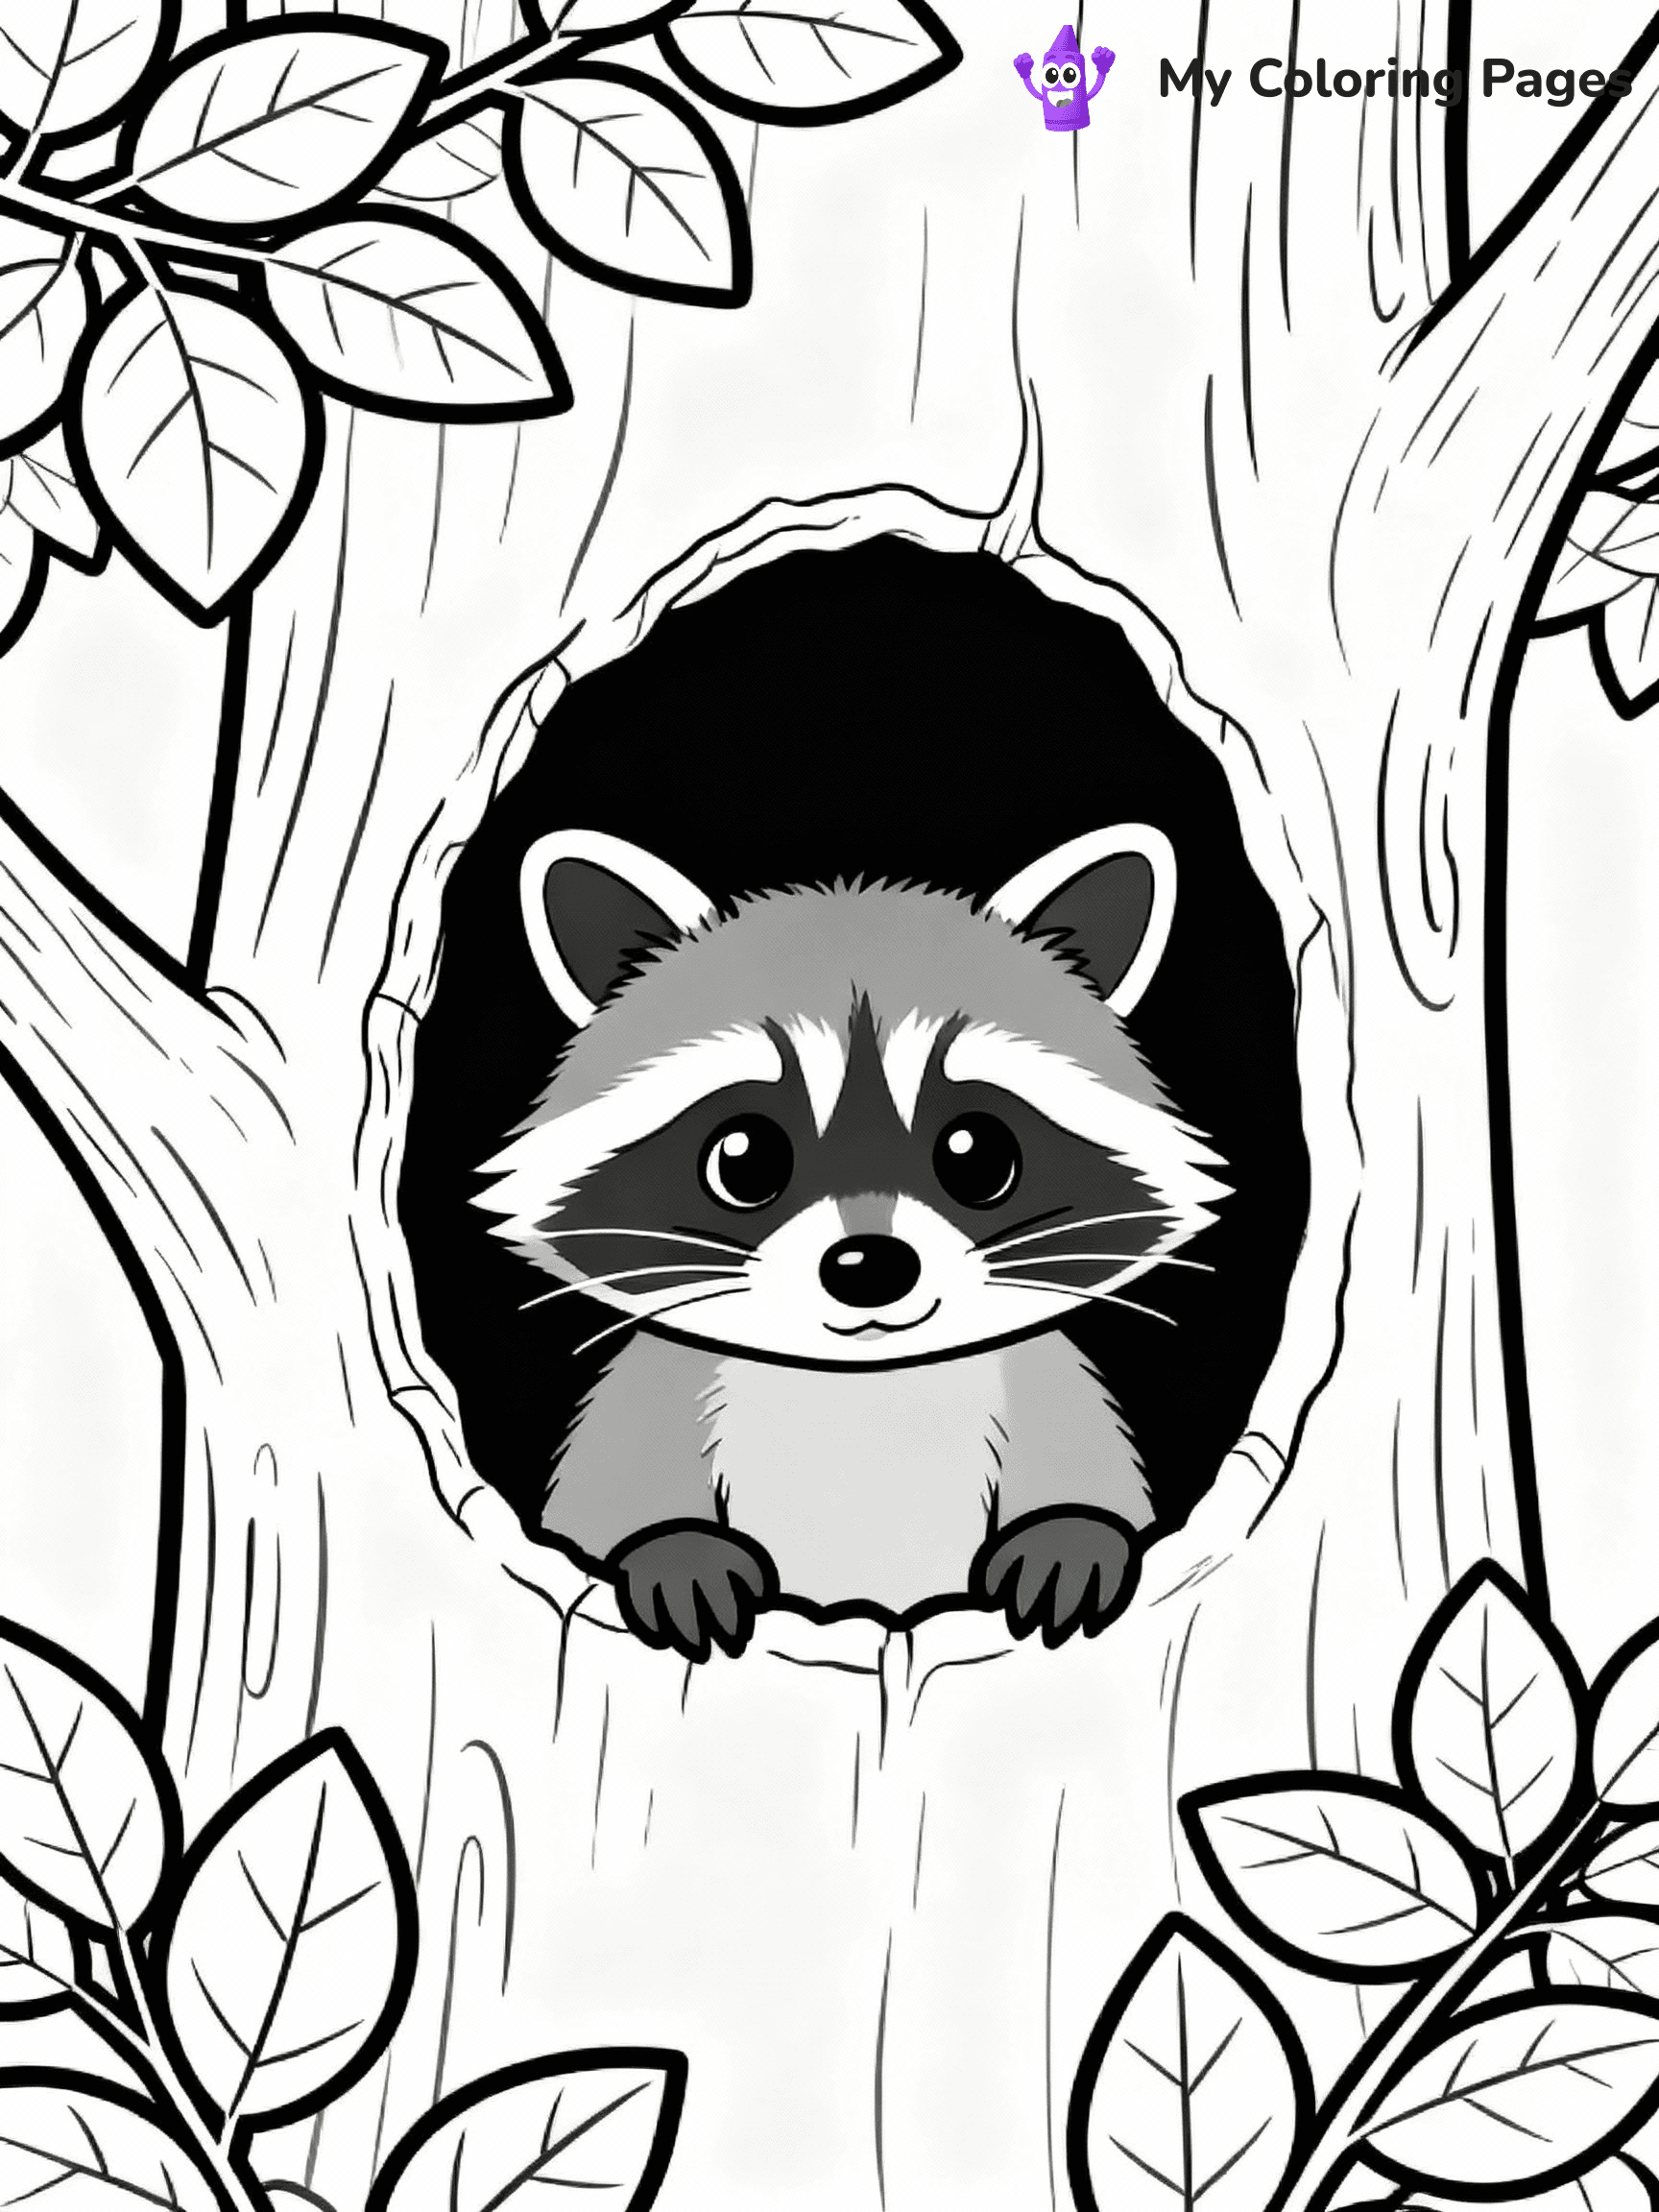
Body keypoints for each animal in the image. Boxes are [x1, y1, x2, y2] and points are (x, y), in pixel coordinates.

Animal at [476, 826, 1228, 1662]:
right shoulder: (656, 1387)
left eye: (977, 1154)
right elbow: (602, 1505)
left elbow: (1094, 1478)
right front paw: (672, 1549)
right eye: (744, 1158)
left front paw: (1069, 1534)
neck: (862, 1382)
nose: (870, 1266)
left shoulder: (1040, 1376)